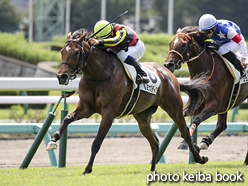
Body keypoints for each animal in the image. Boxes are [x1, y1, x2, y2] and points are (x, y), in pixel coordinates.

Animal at [45, 28, 208, 174]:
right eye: (62, 51)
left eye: (76, 52)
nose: (62, 76)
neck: (100, 74)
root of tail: (169, 73)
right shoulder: (87, 107)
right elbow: (67, 117)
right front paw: (53, 140)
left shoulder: (109, 112)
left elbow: (97, 142)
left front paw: (87, 169)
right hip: (142, 117)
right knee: (155, 143)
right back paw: (152, 170)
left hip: (174, 108)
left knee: (185, 133)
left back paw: (200, 159)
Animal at [164, 25, 247, 154]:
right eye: (170, 43)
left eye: (183, 44)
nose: (168, 64)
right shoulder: (198, 103)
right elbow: (183, 118)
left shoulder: (214, 105)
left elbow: (196, 119)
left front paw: (185, 143)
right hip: (225, 105)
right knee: (221, 125)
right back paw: (206, 141)